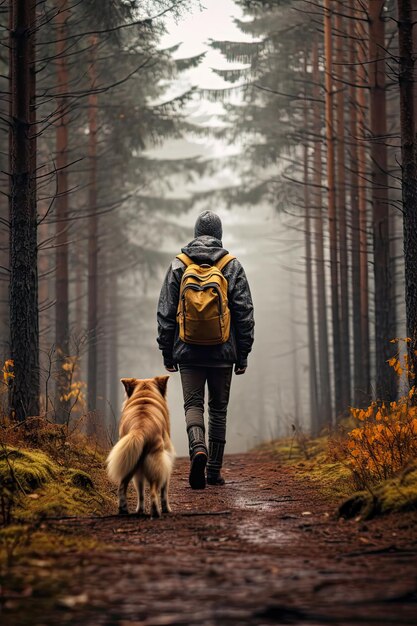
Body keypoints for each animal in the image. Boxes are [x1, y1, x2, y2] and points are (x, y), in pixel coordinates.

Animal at [106, 372, 175, 516]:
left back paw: (125, 510)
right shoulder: (167, 458)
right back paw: (156, 512)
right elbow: (164, 491)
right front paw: (167, 509)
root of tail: (140, 429)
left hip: (130, 461)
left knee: (123, 487)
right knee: (154, 491)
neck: (145, 394)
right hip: (156, 461)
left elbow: (141, 492)